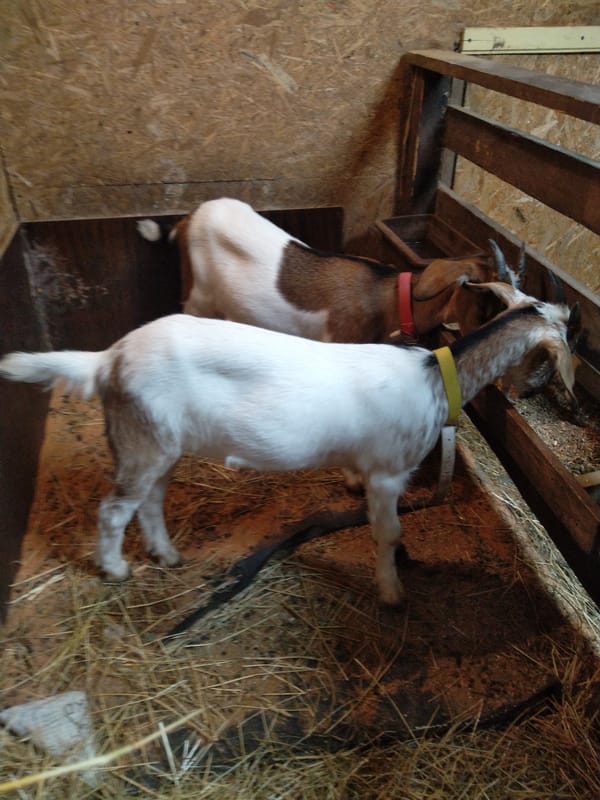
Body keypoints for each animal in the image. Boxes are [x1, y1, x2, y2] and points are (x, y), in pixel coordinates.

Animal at [0, 283, 578, 605]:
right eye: (554, 352)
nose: (536, 396)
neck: (437, 377)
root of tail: (109, 359)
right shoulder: (389, 472)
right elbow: (387, 532)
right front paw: (392, 593)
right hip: (142, 439)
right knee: (114, 509)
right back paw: (116, 569)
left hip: (161, 441)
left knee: (150, 502)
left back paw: (166, 555)